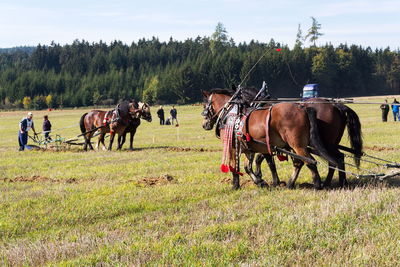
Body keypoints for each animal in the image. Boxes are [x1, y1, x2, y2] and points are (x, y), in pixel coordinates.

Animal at [202, 90, 336, 191]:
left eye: (205, 105)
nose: (204, 125)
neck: (232, 115)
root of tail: (302, 107)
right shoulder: (248, 148)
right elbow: (248, 167)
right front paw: (260, 182)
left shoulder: (232, 146)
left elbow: (234, 166)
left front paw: (235, 185)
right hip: (296, 146)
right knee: (300, 162)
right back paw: (290, 184)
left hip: (297, 145)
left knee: (310, 161)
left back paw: (317, 185)